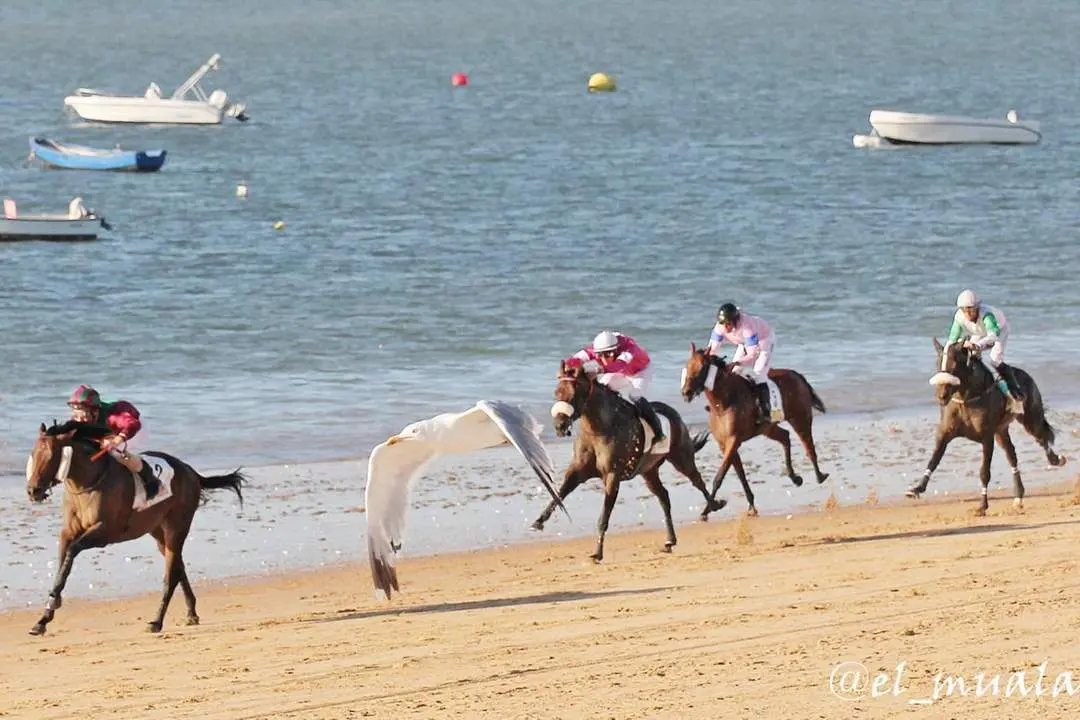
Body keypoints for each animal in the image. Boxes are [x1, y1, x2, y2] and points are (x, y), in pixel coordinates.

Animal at [24, 420, 247, 636]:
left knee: (171, 576)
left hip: (177, 526)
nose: (33, 490)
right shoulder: (68, 532)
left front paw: (51, 605)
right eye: (33, 454)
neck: (89, 483)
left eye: (51, 456)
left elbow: (71, 553)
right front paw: (44, 617)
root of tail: (192, 473)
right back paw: (191, 612)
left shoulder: (105, 532)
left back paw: (156, 622)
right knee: (178, 567)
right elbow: (62, 566)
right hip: (158, 532)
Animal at [531, 361, 726, 562]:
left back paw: (713, 505)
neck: (599, 429)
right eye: (557, 392)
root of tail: (675, 414)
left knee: (698, 481)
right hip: (649, 471)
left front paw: (597, 553)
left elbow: (604, 517)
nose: (559, 426)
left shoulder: (612, 476)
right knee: (664, 496)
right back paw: (670, 541)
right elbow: (560, 492)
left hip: (681, 458)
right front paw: (539, 521)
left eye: (575, 393)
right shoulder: (577, 472)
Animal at [680, 343, 829, 515]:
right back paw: (795, 477)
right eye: (688, 366)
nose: (686, 392)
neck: (723, 403)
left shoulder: (734, 440)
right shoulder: (724, 444)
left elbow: (719, 476)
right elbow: (740, 474)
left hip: (800, 419)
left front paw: (708, 509)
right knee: (785, 436)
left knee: (809, 447)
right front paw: (749, 504)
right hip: (768, 428)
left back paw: (820, 476)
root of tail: (797, 375)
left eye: (703, 367)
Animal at [906, 338, 1066, 515]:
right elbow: (933, 461)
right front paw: (916, 488)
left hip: (1030, 419)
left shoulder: (986, 438)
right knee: (1012, 455)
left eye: (954, 364)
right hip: (1001, 431)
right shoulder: (945, 434)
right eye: (937, 363)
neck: (967, 399)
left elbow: (984, 472)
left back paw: (1056, 459)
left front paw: (982, 504)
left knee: (1042, 438)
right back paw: (1018, 496)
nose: (941, 396)